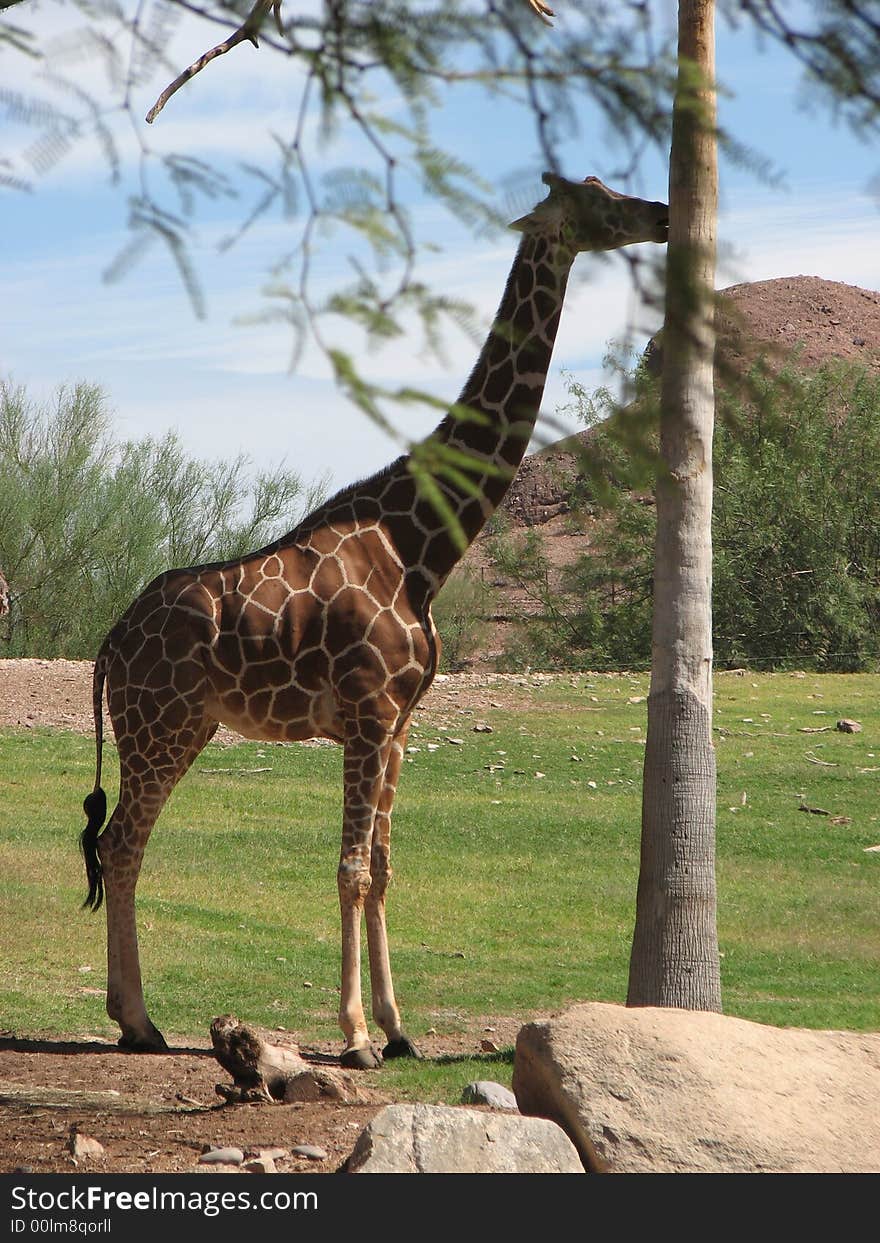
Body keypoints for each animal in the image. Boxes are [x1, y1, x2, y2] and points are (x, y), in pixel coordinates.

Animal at [80, 175, 666, 1068]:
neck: (422, 544)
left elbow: (385, 864)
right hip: (161, 723)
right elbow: (352, 867)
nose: (664, 214)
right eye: (599, 196)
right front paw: (354, 1034)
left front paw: (397, 1027)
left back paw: (136, 1018)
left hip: (186, 725)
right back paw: (140, 1020)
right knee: (120, 842)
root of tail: (111, 640)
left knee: (126, 843)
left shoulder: (399, 721)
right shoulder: (366, 712)